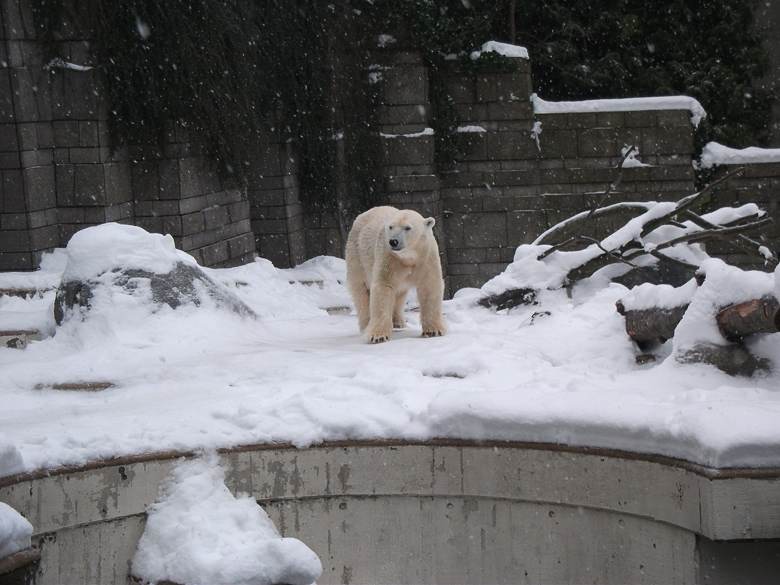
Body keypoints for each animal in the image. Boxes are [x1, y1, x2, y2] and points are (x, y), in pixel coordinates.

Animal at [346, 205, 448, 342]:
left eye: (407, 227)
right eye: (391, 227)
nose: (393, 241)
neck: (408, 257)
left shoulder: (426, 257)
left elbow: (429, 286)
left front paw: (433, 330)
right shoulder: (389, 257)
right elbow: (384, 287)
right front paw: (378, 336)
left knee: (399, 293)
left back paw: (397, 322)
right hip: (357, 255)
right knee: (360, 290)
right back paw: (366, 325)